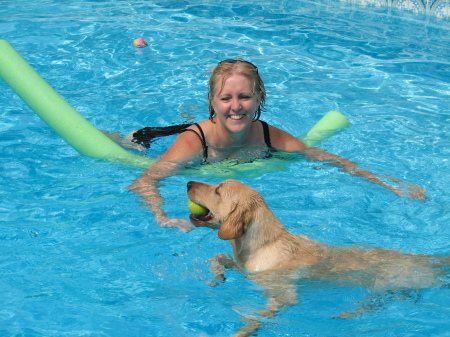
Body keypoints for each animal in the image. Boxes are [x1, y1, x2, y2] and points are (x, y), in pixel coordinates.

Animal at [187, 180, 450, 336]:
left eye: (218, 190)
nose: (188, 182)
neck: (265, 243)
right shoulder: (246, 267)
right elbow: (219, 257)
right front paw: (215, 277)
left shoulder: (284, 296)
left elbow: (255, 315)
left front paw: (243, 330)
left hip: (385, 285)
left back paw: (349, 313)